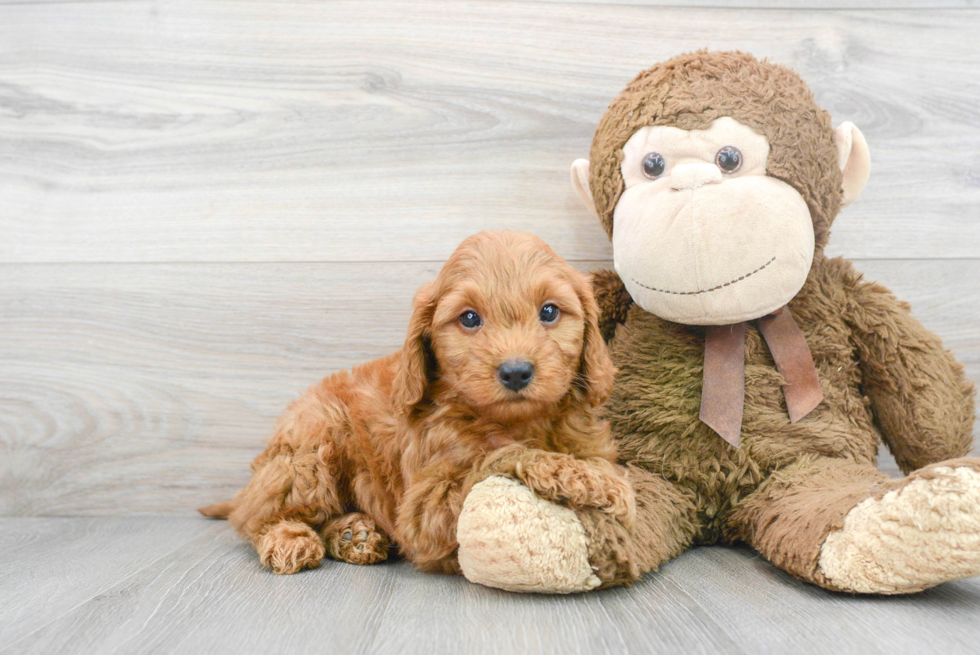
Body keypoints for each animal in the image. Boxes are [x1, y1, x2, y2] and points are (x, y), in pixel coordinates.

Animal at [201, 229, 636, 576]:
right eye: (469, 318)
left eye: (549, 311)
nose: (515, 372)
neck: (517, 421)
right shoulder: (425, 509)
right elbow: (500, 455)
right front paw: (577, 474)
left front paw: (595, 474)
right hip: (311, 446)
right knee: (253, 516)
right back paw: (289, 539)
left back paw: (352, 534)